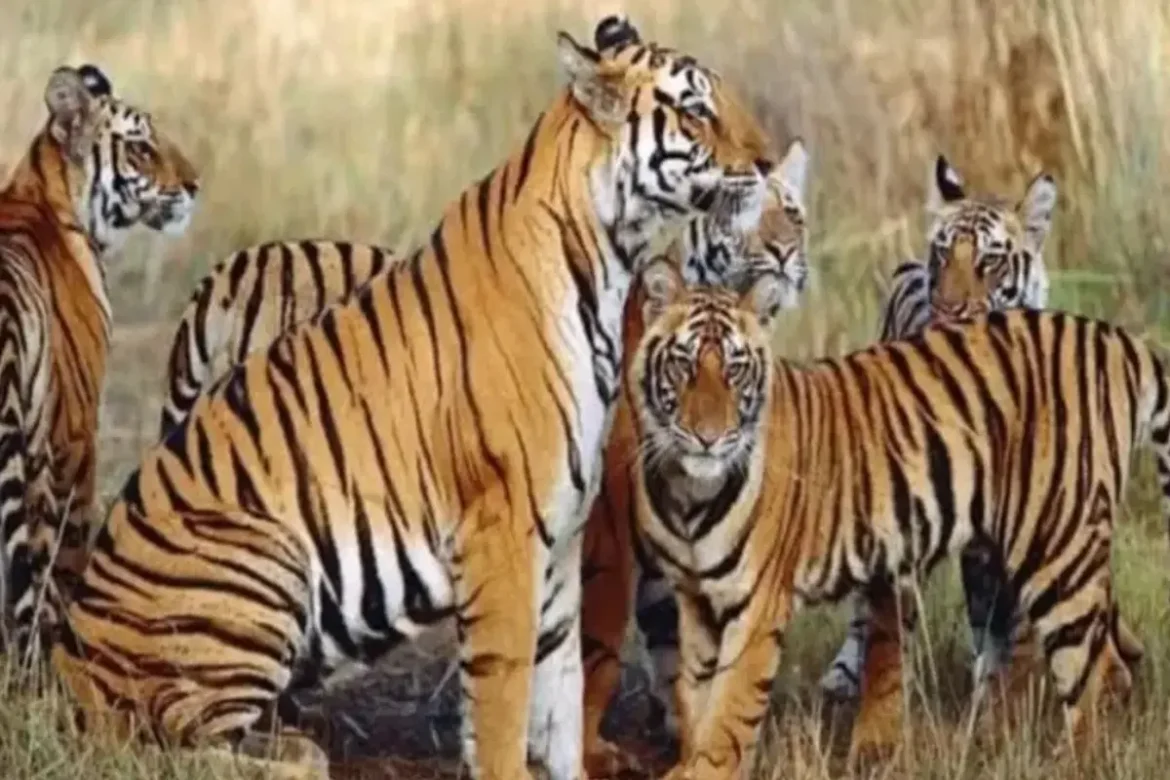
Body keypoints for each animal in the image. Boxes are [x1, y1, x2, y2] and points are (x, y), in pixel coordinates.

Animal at [51, 16, 779, 780]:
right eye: (697, 110)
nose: (766, 162)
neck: (610, 259)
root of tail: (66, 654)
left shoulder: (559, 538)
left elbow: (559, 695)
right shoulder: (504, 530)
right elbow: (505, 701)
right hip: (263, 557)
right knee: (169, 739)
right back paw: (300, 753)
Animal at [625, 261, 1170, 777]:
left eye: (735, 370)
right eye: (683, 365)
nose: (709, 437)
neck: (690, 495)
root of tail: (1116, 339)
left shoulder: (757, 604)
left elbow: (730, 707)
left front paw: (703, 770)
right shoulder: (696, 599)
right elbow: (698, 698)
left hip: (1058, 549)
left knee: (1090, 676)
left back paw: (1072, 763)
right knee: (1108, 664)